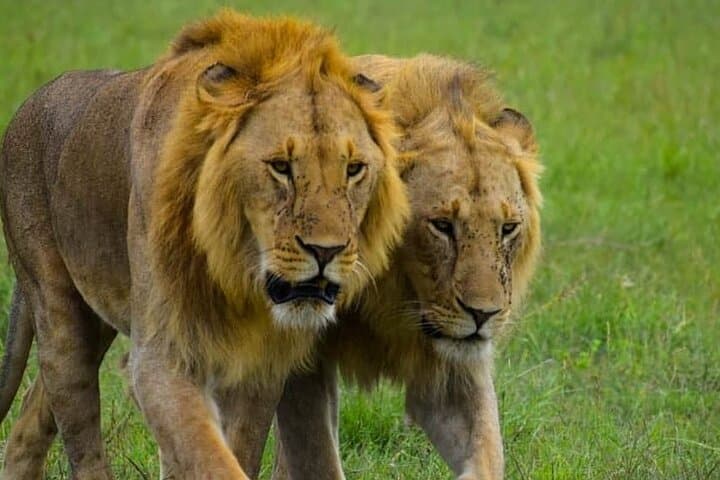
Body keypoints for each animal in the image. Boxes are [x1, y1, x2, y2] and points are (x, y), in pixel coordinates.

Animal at [0, 11, 408, 479]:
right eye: (280, 167)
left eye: (354, 169)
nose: (326, 252)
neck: (234, 267)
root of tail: (32, 101)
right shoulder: (158, 358)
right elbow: (207, 454)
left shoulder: (260, 363)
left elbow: (237, 448)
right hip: (59, 314)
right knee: (80, 436)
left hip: (97, 319)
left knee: (29, 422)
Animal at [264, 55, 542, 480]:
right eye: (442, 225)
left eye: (508, 228)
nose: (485, 314)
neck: (389, 299)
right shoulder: (302, 361)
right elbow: (317, 457)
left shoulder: (453, 373)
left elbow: (487, 454)